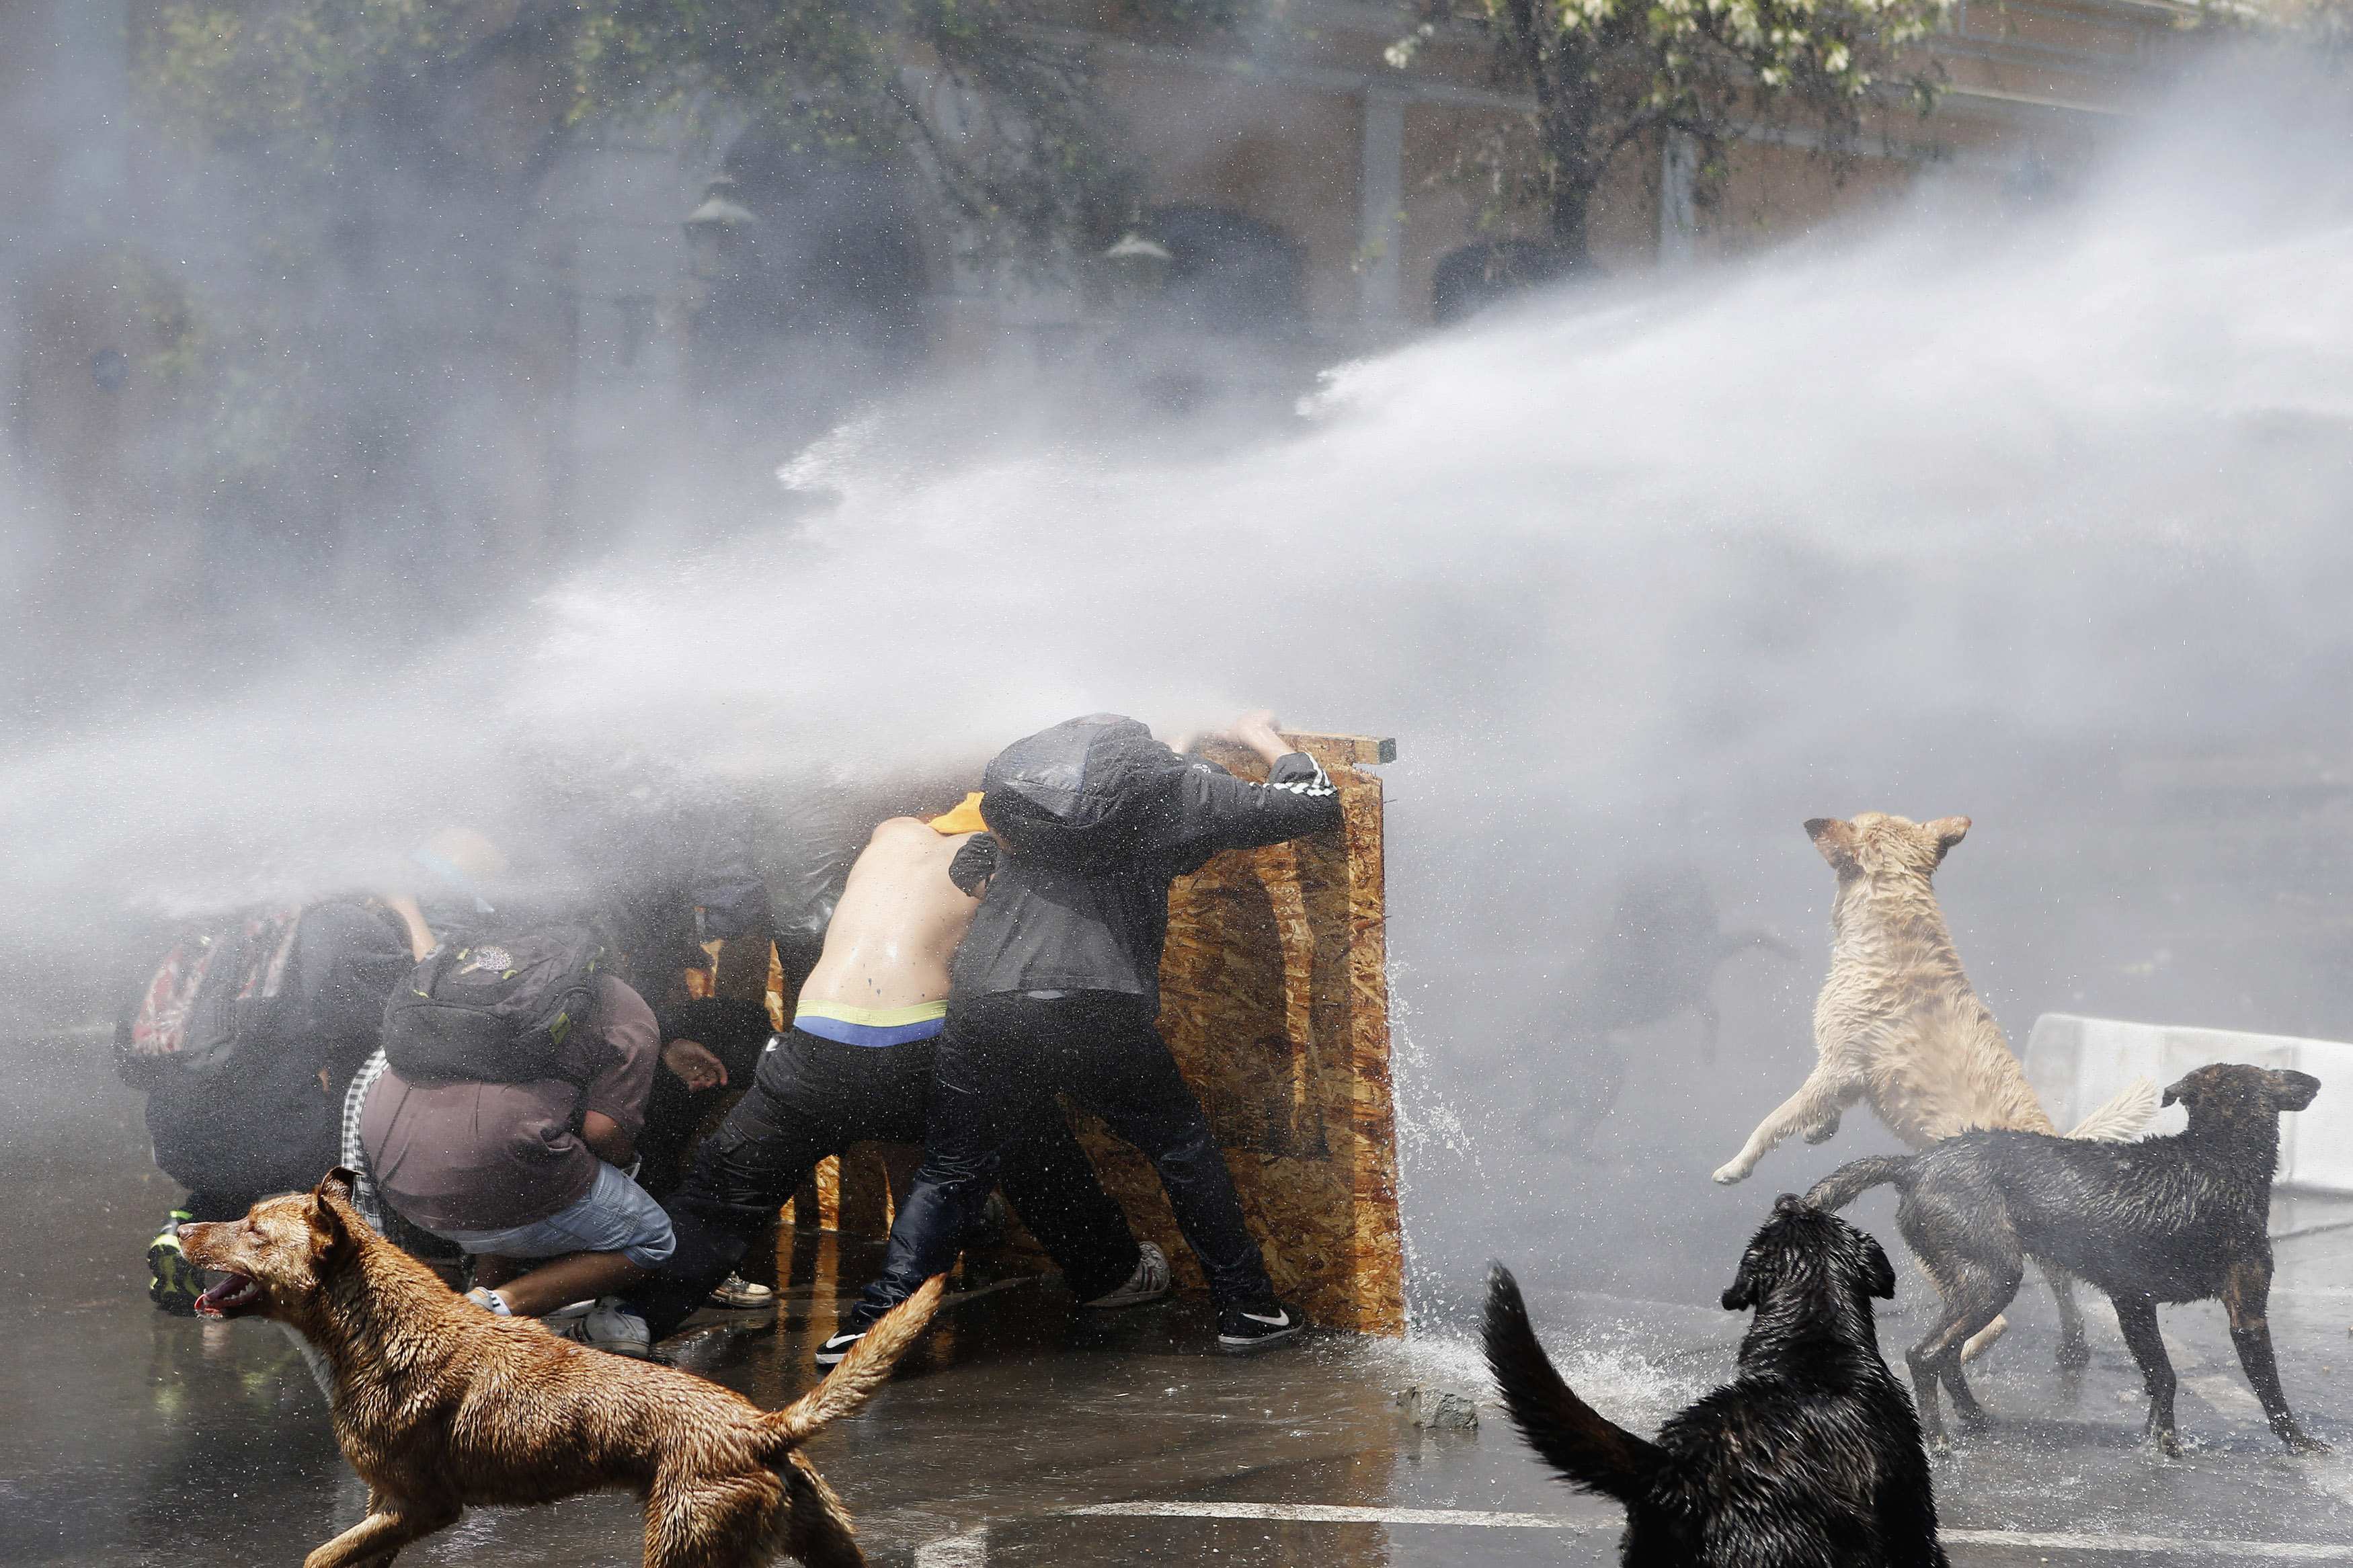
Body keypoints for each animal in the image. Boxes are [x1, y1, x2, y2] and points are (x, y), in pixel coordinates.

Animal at [179, 1170, 941, 1568]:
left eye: (253, 1229)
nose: (183, 1229)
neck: (375, 1329)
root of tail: (765, 1426)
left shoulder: (423, 1505)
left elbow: (317, 1555)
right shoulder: (383, 1505)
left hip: (683, 1546)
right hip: (822, 1540)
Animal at [1713, 818, 2155, 1363]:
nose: (1812, 822)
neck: (1894, 921)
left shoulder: (1836, 1067)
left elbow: (1774, 1120)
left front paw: (1737, 1165)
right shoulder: (1845, 1076)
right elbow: (1816, 1113)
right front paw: (1819, 1131)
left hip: (1947, 1252)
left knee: (1992, 1323)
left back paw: (1960, 1359)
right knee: (2061, 1286)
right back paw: (2072, 1347)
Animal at [1807, 1062, 2325, 1467]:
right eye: (2272, 1074)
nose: (2313, 1082)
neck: (2216, 1156)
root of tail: (1913, 1166)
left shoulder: (2133, 1301)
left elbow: (2161, 1375)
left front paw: (2158, 1440)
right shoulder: (2245, 1311)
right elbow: (2267, 1391)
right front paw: (2301, 1443)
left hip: (1972, 1280)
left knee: (1949, 1353)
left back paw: (1976, 1418)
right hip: (1994, 1277)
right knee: (1925, 1354)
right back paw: (1939, 1442)